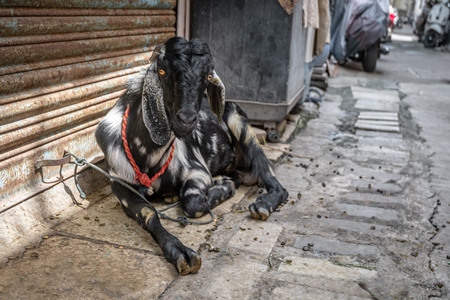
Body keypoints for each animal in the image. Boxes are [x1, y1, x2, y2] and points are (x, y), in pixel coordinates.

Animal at [96, 37, 290, 274]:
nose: (187, 119)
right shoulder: (119, 183)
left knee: (272, 178)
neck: (148, 157)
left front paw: (224, 189)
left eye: (207, 76)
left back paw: (261, 203)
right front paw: (178, 251)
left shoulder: (197, 171)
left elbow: (193, 204)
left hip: (239, 120)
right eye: (162, 71)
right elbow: (149, 213)